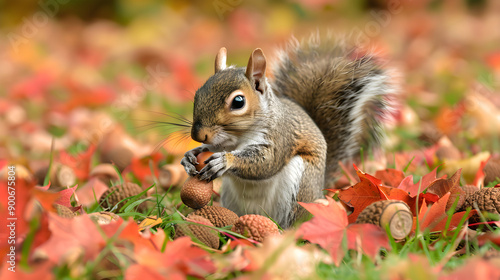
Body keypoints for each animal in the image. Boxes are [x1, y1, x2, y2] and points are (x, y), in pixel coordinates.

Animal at [182, 35, 396, 228]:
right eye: (198, 93)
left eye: (238, 102)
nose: (198, 135)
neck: (237, 138)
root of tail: (319, 191)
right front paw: (190, 156)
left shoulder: (281, 136)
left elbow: (266, 162)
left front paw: (226, 160)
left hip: (299, 187)